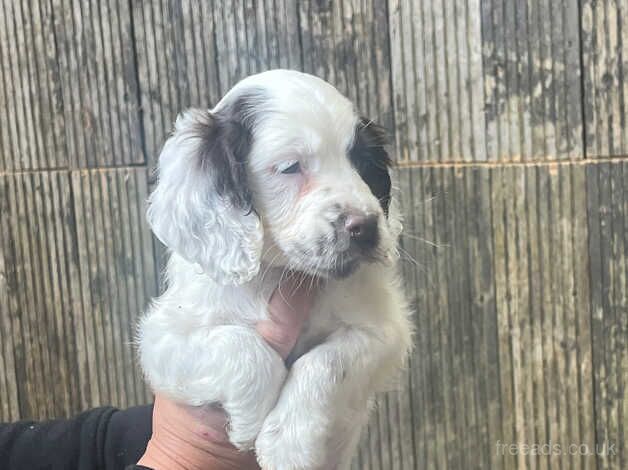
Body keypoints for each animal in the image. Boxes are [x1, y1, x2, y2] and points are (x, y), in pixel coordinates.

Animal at [139, 70, 412, 470]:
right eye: (290, 167)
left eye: (363, 163)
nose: (365, 227)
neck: (282, 274)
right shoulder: (162, 337)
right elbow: (241, 345)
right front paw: (250, 420)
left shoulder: (385, 332)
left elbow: (327, 362)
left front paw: (288, 442)